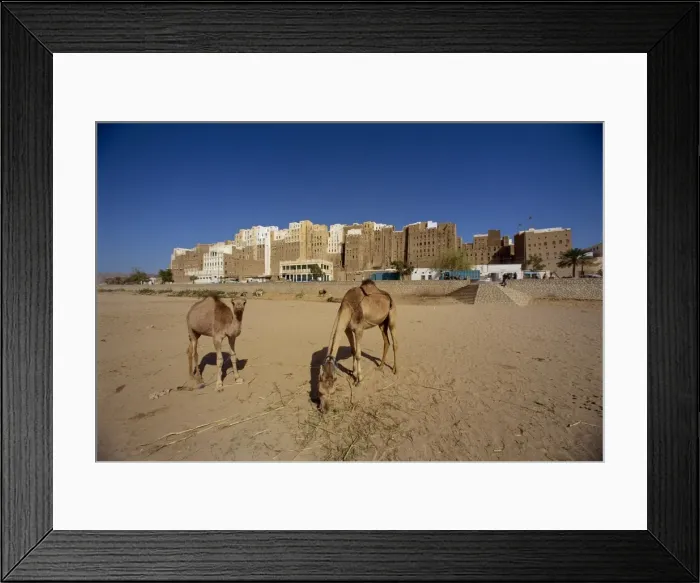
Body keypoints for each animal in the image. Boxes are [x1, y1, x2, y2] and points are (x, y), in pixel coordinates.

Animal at [318, 279, 398, 411]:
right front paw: (353, 373)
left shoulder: (359, 329)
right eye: (320, 391)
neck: (347, 307)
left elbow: (359, 354)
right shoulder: (348, 329)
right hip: (382, 323)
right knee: (386, 341)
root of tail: (389, 296)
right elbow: (354, 351)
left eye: (333, 392)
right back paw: (380, 367)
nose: (325, 409)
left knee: (395, 342)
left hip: (392, 315)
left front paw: (359, 380)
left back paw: (395, 370)